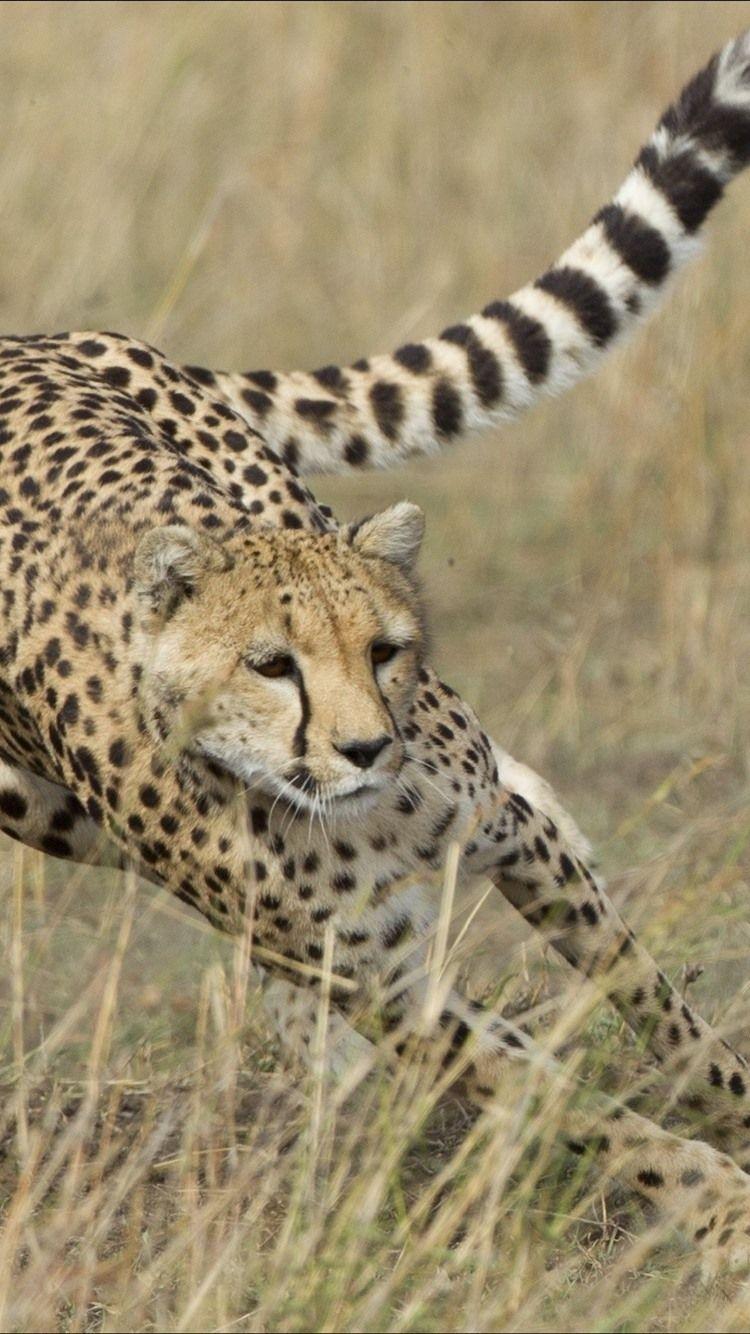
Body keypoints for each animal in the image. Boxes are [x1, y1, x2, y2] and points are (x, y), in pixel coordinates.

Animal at [2, 32, 750, 1273]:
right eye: (270, 665)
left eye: (385, 648)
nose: (366, 747)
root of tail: (34, 336)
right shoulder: (383, 981)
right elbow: (563, 1100)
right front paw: (715, 1200)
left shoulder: (501, 835)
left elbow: (657, 1004)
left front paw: (731, 1107)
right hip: (50, 812)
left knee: (533, 798)